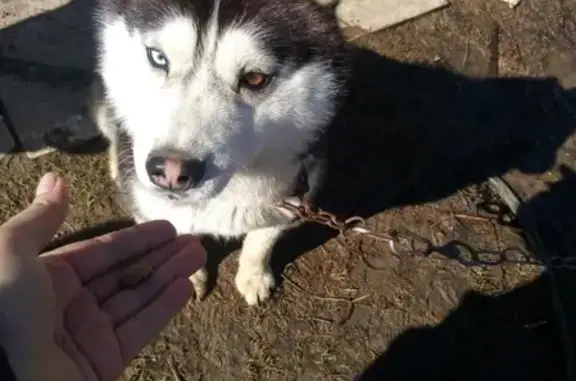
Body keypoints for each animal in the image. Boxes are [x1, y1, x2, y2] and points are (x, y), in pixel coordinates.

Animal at [93, 0, 352, 304]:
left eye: (255, 78)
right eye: (158, 58)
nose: (169, 173)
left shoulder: (295, 194)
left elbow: (262, 240)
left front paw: (254, 276)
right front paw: (191, 275)